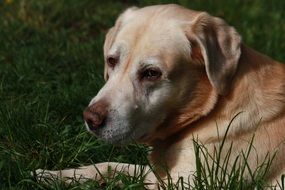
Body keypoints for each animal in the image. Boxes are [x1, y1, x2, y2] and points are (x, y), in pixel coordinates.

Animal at [35, 3, 284, 188]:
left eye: (151, 73)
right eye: (111, 60)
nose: (90, 119)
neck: (209, 113)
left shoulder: (191, 182)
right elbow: (110, 165)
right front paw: (52, 175)